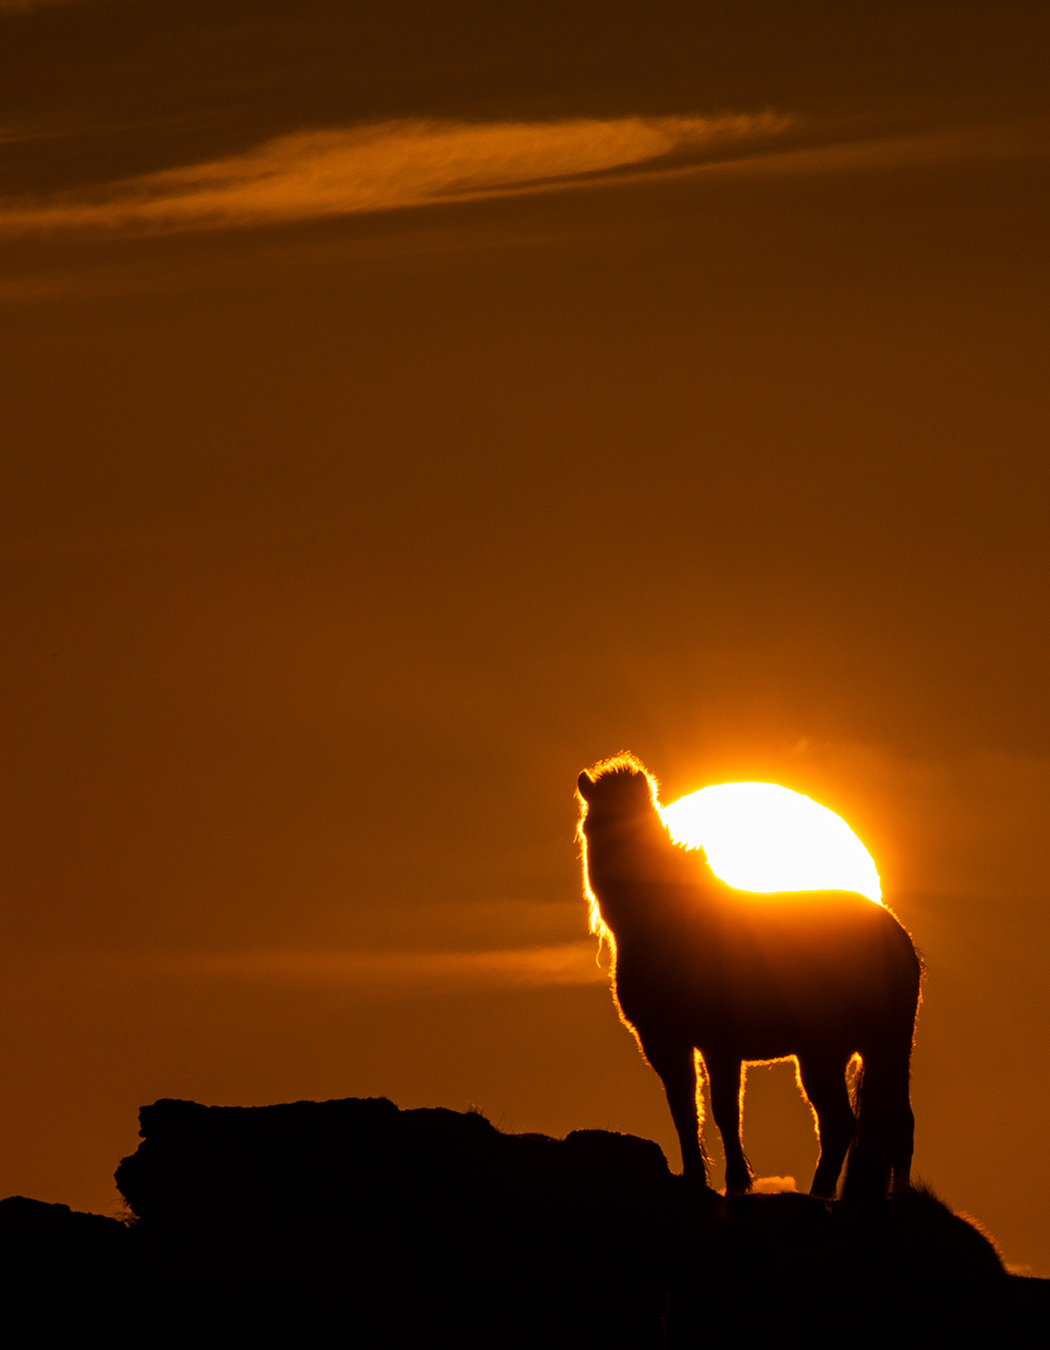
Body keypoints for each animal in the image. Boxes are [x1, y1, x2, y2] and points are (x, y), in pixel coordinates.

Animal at [576, 754, 921, 1201]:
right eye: (599, 818)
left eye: (642, 818)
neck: (661, 920)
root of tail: (896, 935)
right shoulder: (664, 1041)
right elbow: (684, 1109)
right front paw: (696, 1177)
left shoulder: (718, 1042)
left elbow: (724, 1110)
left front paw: (737, 1183)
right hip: (854, 1049)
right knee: (871, 1124)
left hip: (853, 1048)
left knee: (865, 1124)